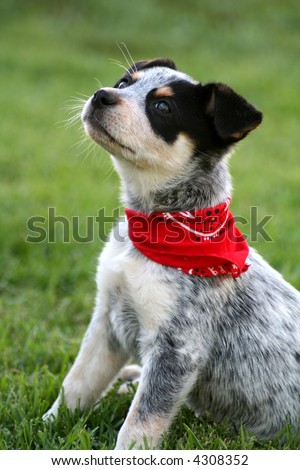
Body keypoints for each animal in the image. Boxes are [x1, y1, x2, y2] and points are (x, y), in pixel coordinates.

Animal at [42, 57, 300, 448]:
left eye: (162, 107)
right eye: (124, 82)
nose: (102, 95)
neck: (159, 227)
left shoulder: (177, 349)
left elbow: (140, 422)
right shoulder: (108, 319)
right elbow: (77, 382)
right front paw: (49, 423)